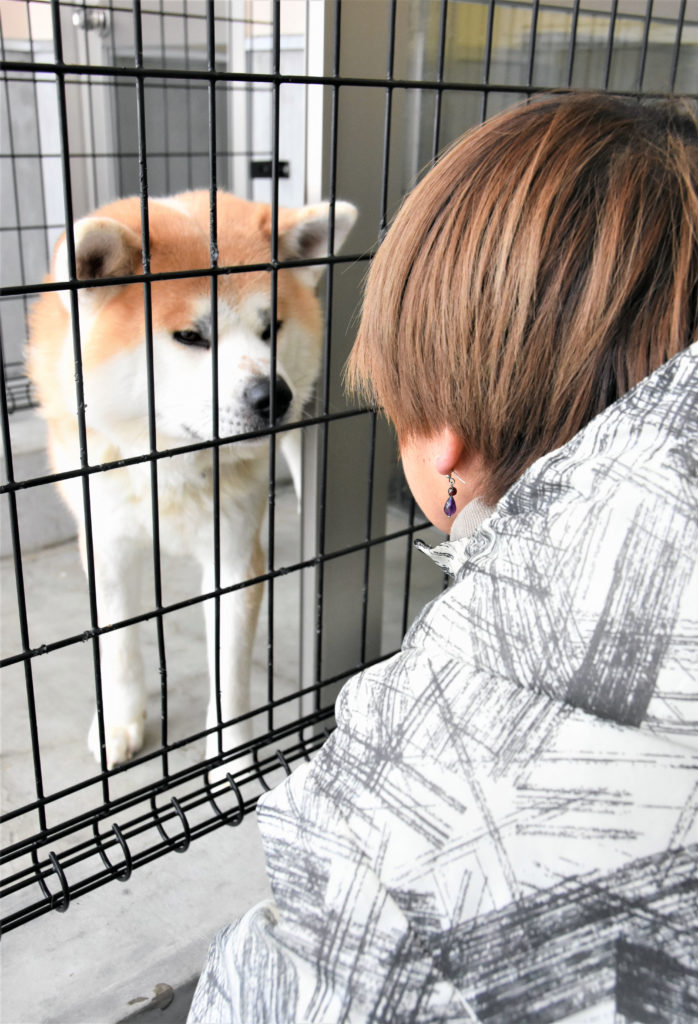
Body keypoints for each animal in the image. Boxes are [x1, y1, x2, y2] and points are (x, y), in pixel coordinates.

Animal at [27, 190, 356, 770]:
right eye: (190, 337)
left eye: (271, 329)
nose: (272, 397)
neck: (168, 462)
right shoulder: (106, 541)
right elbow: (117, 644)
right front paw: (121, 721)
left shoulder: (234, 556)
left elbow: (229, 670)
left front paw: (232, 756)